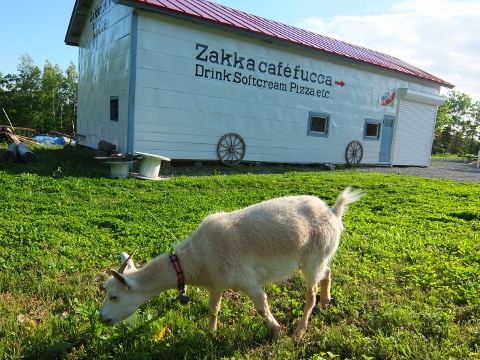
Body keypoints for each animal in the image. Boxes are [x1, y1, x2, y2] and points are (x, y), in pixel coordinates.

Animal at [99, 187, 362, 338]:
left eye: (114, 296)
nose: (102, 319)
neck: (196, 258)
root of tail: (334, 211)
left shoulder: (247, 280)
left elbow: (261, 305)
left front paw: (276, 332)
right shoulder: (216, 284)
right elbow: (213, 308)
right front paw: (210, 333)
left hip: (314, 256)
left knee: (310, 293)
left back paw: (299, 330)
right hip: (319, 256)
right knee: (327, 271)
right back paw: (326, 301)